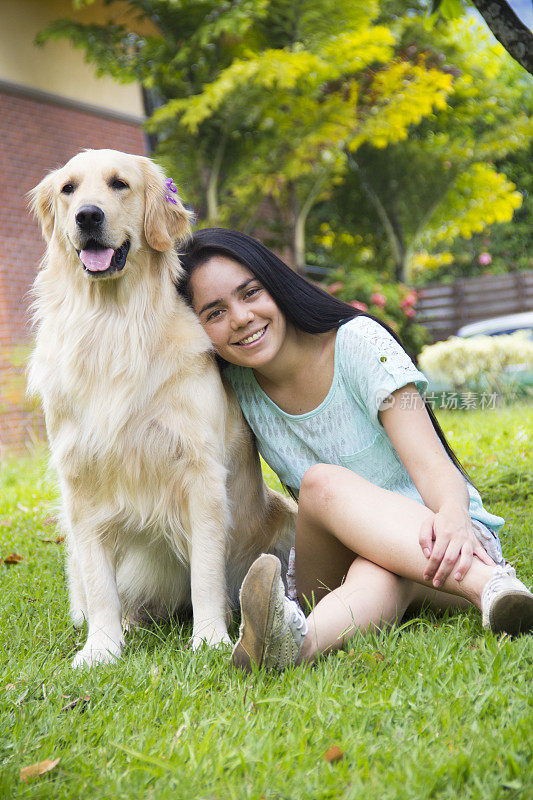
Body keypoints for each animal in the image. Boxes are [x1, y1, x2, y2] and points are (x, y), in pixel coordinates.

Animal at [28, 150, 296, 668]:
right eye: (69, 189)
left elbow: (206, 573)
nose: (87, 216)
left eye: (120, 184)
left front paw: (210, 638)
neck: (112, 324)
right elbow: (100, 581)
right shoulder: (80, 481)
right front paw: (101, 648)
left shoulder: (200, 473)